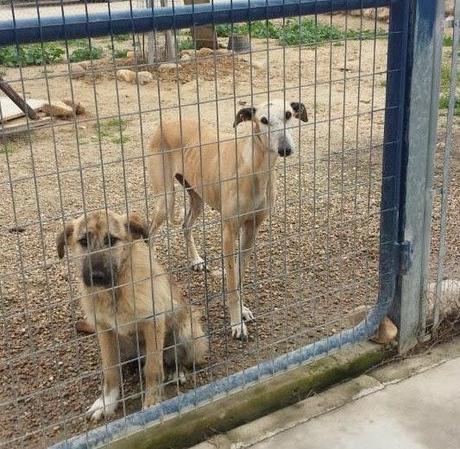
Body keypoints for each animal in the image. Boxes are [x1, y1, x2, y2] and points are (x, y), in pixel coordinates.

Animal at [56, 210, 207, 420]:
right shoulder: (104, 330)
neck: (115, 290)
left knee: (173, 359)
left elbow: (153, 368)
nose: (96, 277)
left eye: (112, 240)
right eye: (83, 241)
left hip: (188, 331)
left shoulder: (153, 322)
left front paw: (152, 402)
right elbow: (110, 371)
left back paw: (176, 371)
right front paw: (106, 402)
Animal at [149, 97, 308, 336]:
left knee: (186, 225)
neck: (254, 168)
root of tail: (164, 122)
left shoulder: (251, 229)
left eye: (289, 114)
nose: (285, 149)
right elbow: (232, 280)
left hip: (197, 197)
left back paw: (196, 260)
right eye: (263, 120)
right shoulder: (229, 232)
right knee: (148, 234)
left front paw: (242, 311)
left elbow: (240, 276)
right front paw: (236, 323)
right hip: (165, 200)